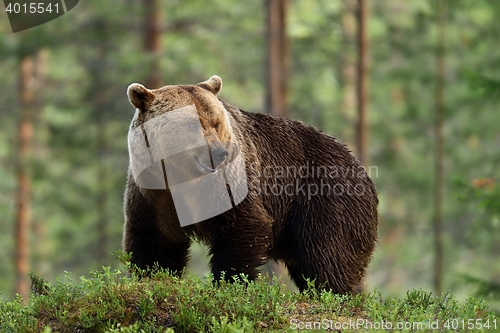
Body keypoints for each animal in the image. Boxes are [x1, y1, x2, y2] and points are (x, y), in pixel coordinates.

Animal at [123, 76, 376, 294]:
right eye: (193, 125)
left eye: (216, 123)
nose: (219, 153)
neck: (181, 177)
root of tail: (361, 167)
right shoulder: (153, 194)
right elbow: (157, 239)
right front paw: (151, 275)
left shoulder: (227, 183)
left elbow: (242, 227)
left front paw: (228, 281)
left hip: (325, 200)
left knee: (326, 257)